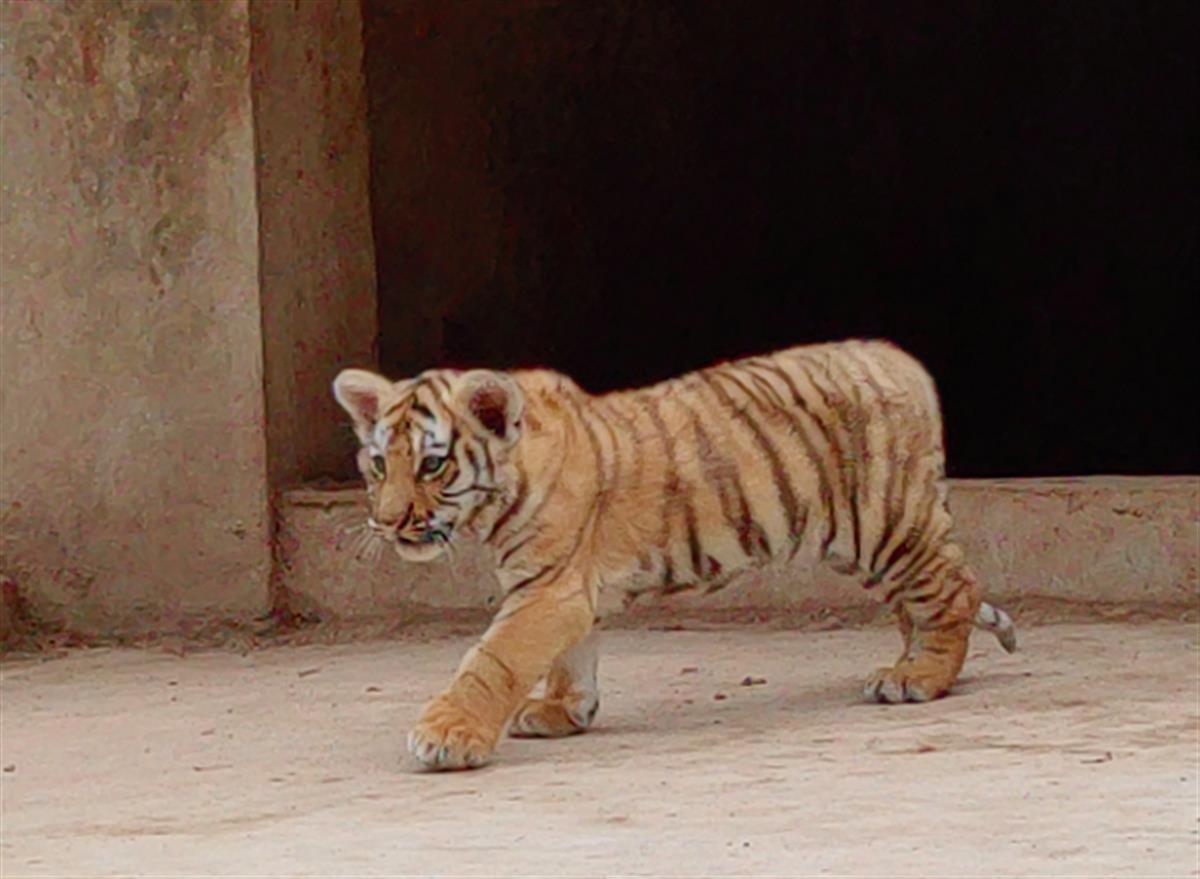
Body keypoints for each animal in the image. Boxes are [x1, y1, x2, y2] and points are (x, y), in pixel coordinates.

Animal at [333, 336, 1017, 768]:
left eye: (432, 464)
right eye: (379, 464)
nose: (387, 522)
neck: (499, 495)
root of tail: (899, 359)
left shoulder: (547, 589)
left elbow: (492, 660)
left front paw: (446, 735)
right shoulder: (561, 588)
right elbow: (569, 658)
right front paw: (563, 711)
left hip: (886, 524)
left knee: (952, 591)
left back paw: (917, 676)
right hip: (864, 544)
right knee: (926, 600)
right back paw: (907, 663)